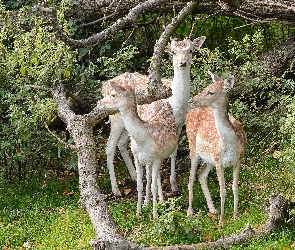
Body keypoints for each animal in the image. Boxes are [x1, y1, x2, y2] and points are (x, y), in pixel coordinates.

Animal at [98, 81, 179, 218]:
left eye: (113, 94)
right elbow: (140, 185)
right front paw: (138, 213)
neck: (143, 140)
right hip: (148, 160)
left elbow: (153, 186)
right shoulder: (137, 157)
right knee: (151, 176)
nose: (99, 103)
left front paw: (155, 216)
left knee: (156, 177)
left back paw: (161, 201)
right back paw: (148, 202)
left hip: (160, 157)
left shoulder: (157, 157)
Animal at [103, 37, 207, 197]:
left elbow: (174, 152)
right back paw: (116, 189)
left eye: (190, 50)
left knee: (121, 143)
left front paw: (174, 185)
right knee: (109, 147)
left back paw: (134, 175)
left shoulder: (178, 124)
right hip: (115, 118)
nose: (182, 63)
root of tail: (103, 87)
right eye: (173, 52)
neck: (176, 104)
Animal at [187, 71, 247, 226]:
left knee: (201, 174)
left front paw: (235, 216)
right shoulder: (219, 160)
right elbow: (222, 190)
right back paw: (190, 211)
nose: (191, 101)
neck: (230, 143)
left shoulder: (238, 159)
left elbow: (235, 187)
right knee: (191, 177)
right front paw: (221, 222)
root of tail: (188, 114)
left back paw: (212, 209)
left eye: (211, 92)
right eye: (205, 88)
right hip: (193, 146)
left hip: (209, 158)